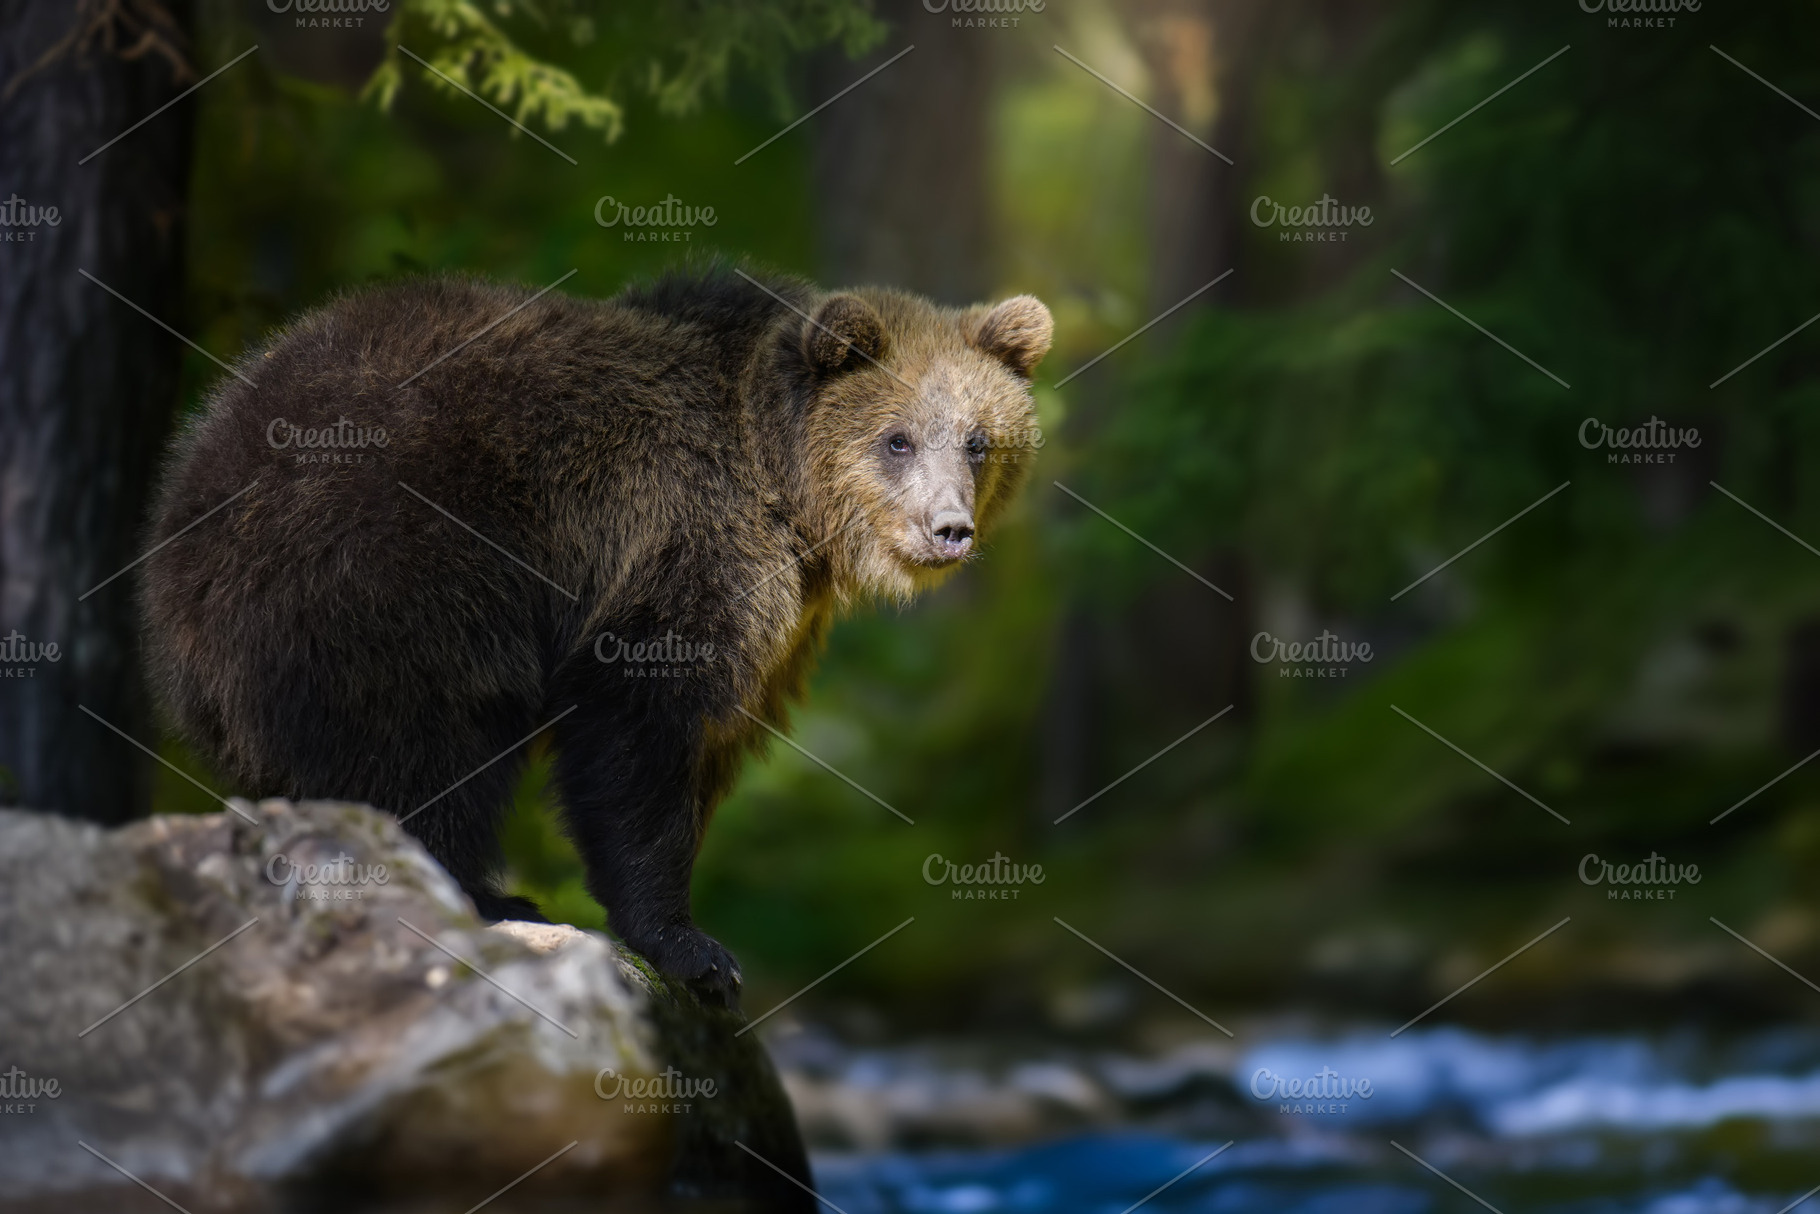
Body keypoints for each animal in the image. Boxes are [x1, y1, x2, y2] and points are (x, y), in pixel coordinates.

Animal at [139, 265, 1052, 1006]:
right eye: (897, 438)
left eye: (978, 440)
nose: (949, 529)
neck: (787, 493)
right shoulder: (679, 544)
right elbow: (636, 732)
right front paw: (692, 948)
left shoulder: (778, 628)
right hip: (388, 578)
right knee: (422, 742)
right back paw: (478, 891)